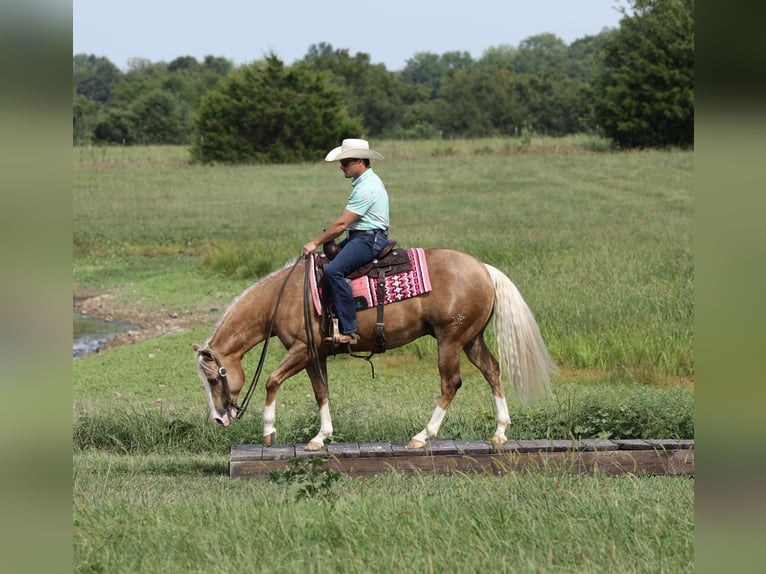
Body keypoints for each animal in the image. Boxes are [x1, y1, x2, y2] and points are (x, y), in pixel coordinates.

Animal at [193, 248, 556, 451]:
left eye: (212, 379)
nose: (219, 419)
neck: (286, 296)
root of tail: (484, 268)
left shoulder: (301, 349)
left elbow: (271, 381)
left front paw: (269, 431)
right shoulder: (315, 355)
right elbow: (321, 392)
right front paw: (320, 438)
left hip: (450, 340)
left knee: (451, 383)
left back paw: (423, 435)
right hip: (471, 339)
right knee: (492, 371)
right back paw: (500, 433)